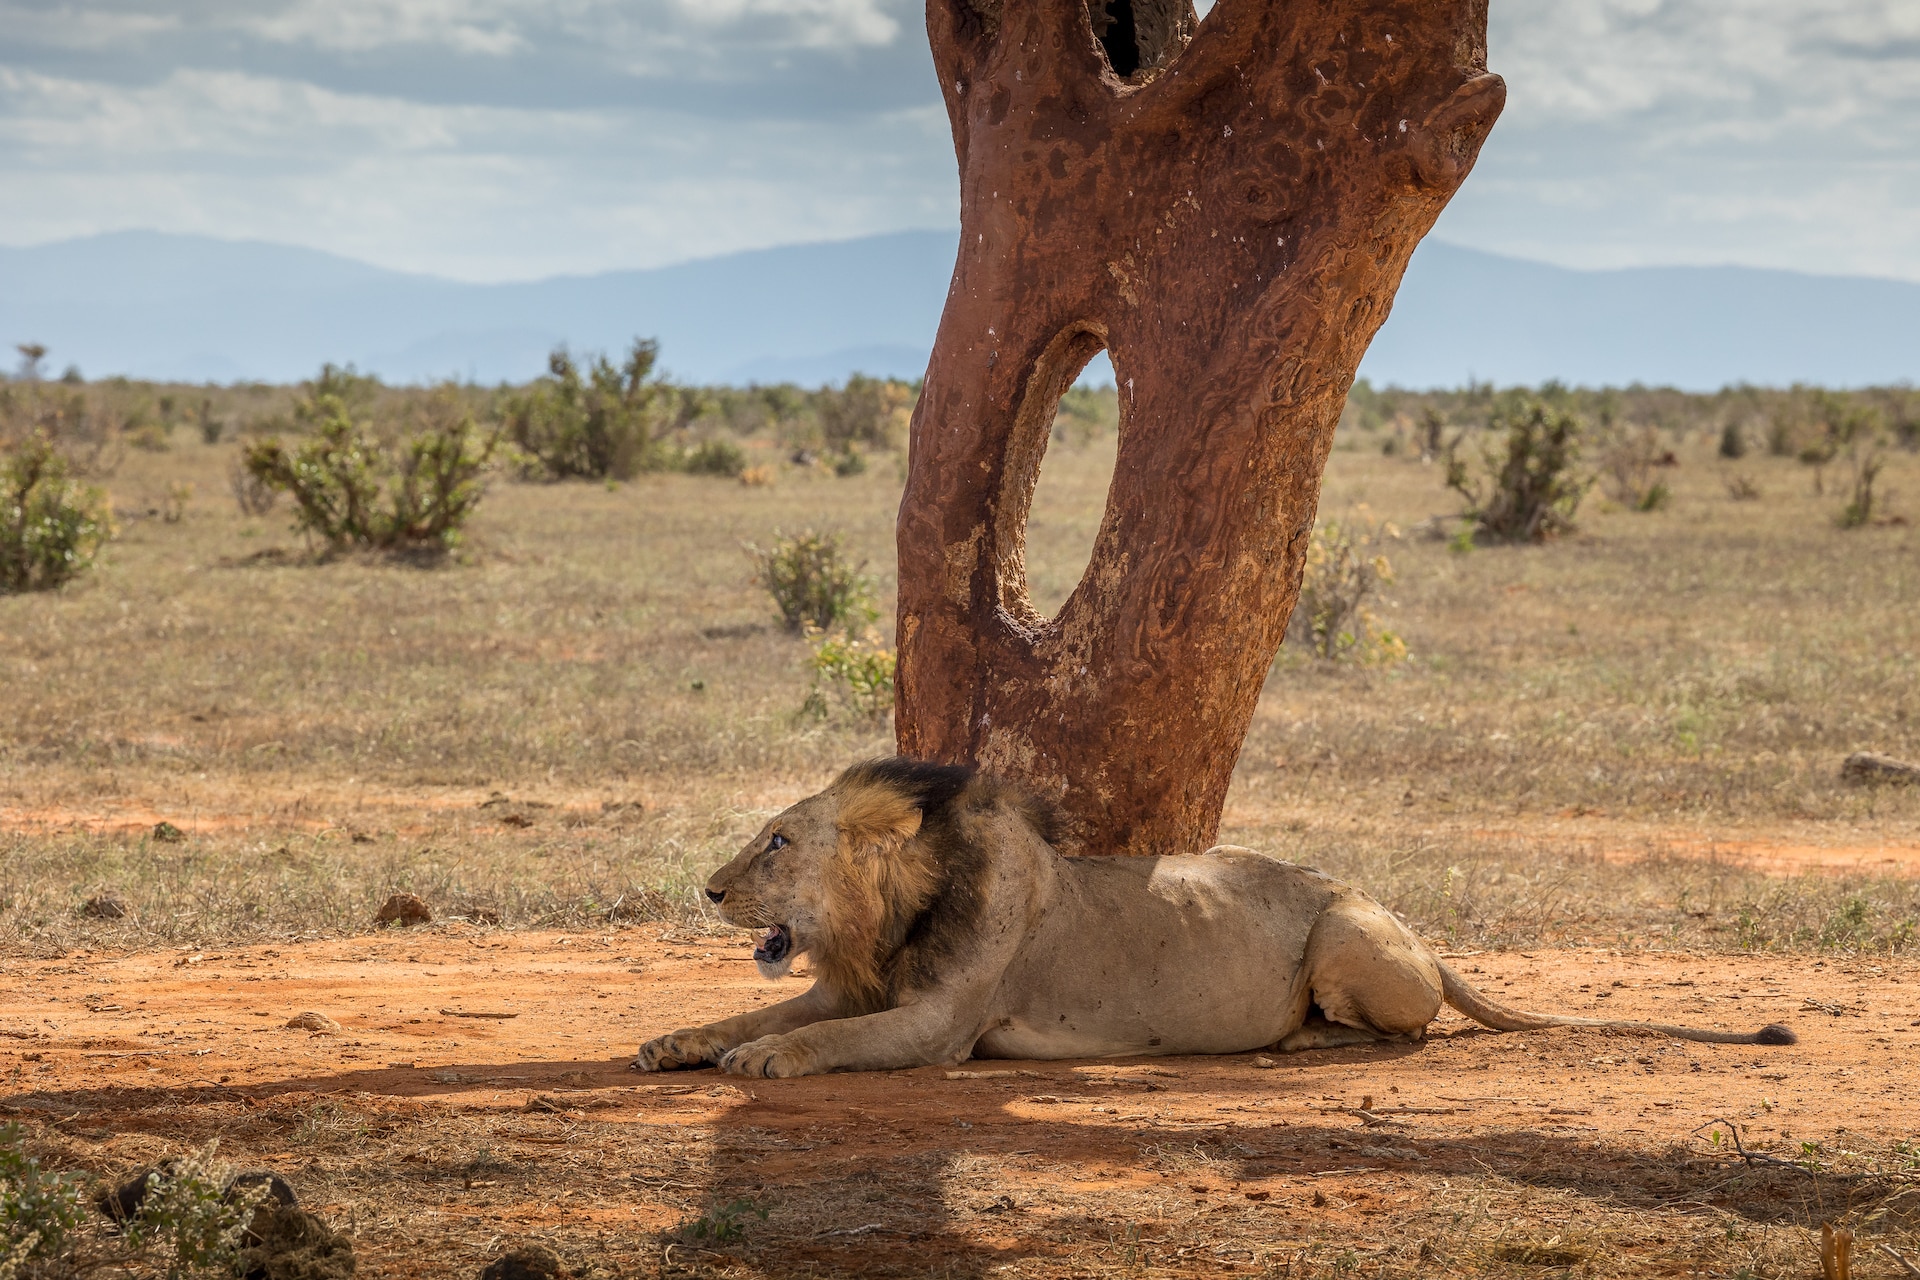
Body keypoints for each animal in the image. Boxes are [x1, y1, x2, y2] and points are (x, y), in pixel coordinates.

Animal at [633, 759, 1797, 1082]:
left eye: (779, 841)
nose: (709, 889)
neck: (886, 919)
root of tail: (1421, 930)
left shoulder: (938, 1024)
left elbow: (825, 1038)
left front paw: (763, 1064)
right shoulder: (846, 981)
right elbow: (747, 1012)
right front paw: (671, 1042)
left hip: (1344, 935)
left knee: (1407, 1030)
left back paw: (1301, 1041)